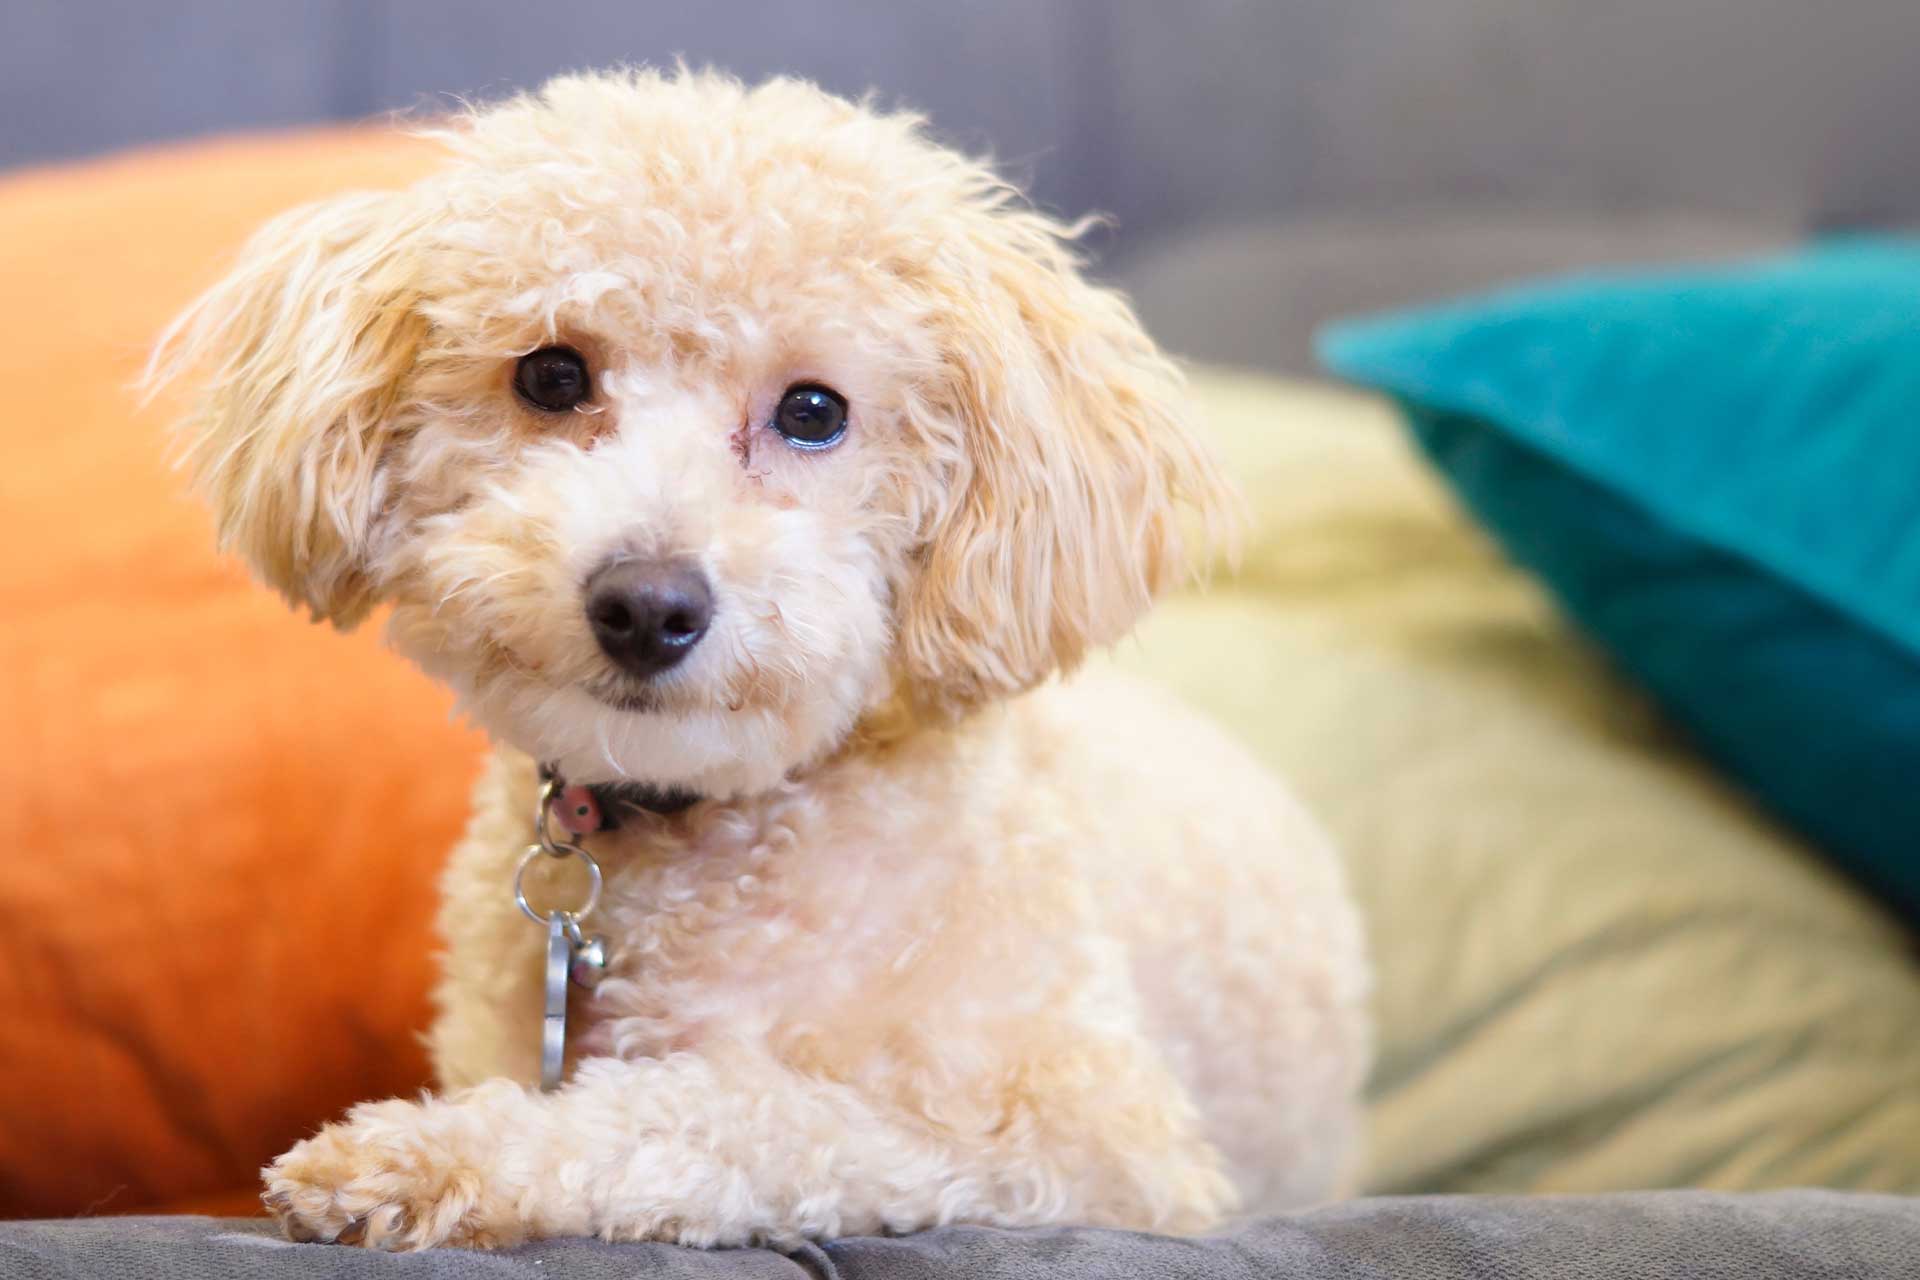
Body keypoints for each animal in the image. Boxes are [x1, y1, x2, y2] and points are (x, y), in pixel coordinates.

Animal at [157, 67, 1374, 1251]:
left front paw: (428, 1155)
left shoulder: (1080, 1135)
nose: (647, 606)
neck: (696, 828)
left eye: (814, 410)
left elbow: (729, 1111)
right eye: (550, 375)